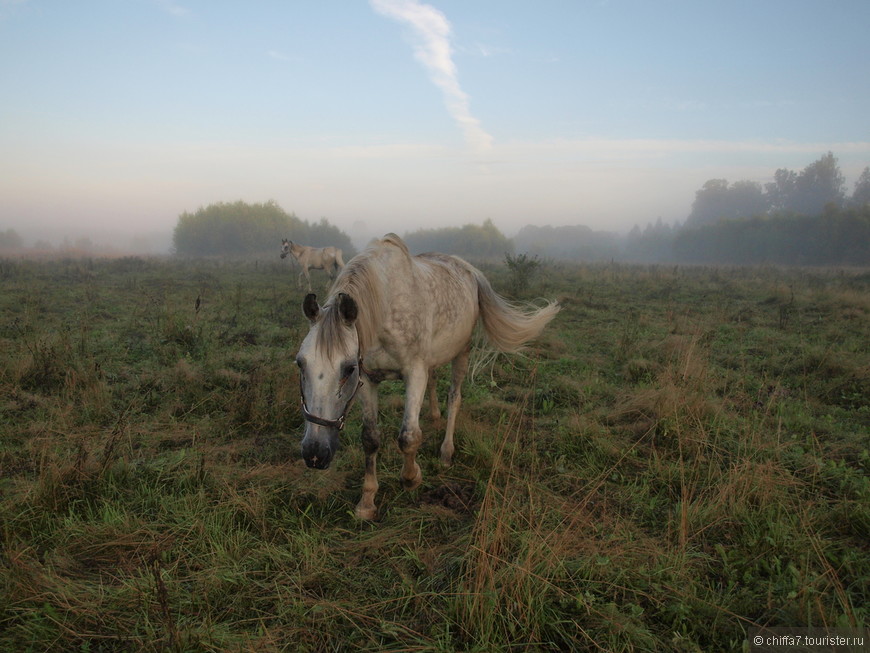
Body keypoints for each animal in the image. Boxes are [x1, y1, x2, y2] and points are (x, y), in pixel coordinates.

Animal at [296, 234, 564, 520]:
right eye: (300, 363)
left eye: (347, 368)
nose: (314, 454)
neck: (386, 309)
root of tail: (468, 269)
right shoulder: (368, 379)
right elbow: (370, 438)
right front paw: (367, 501)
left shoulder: (414, 372)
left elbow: (408, 437)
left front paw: (412, 478)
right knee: (434, 380)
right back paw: (434, 416)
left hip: (462, 352)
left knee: (454, 398)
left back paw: (446, 452)